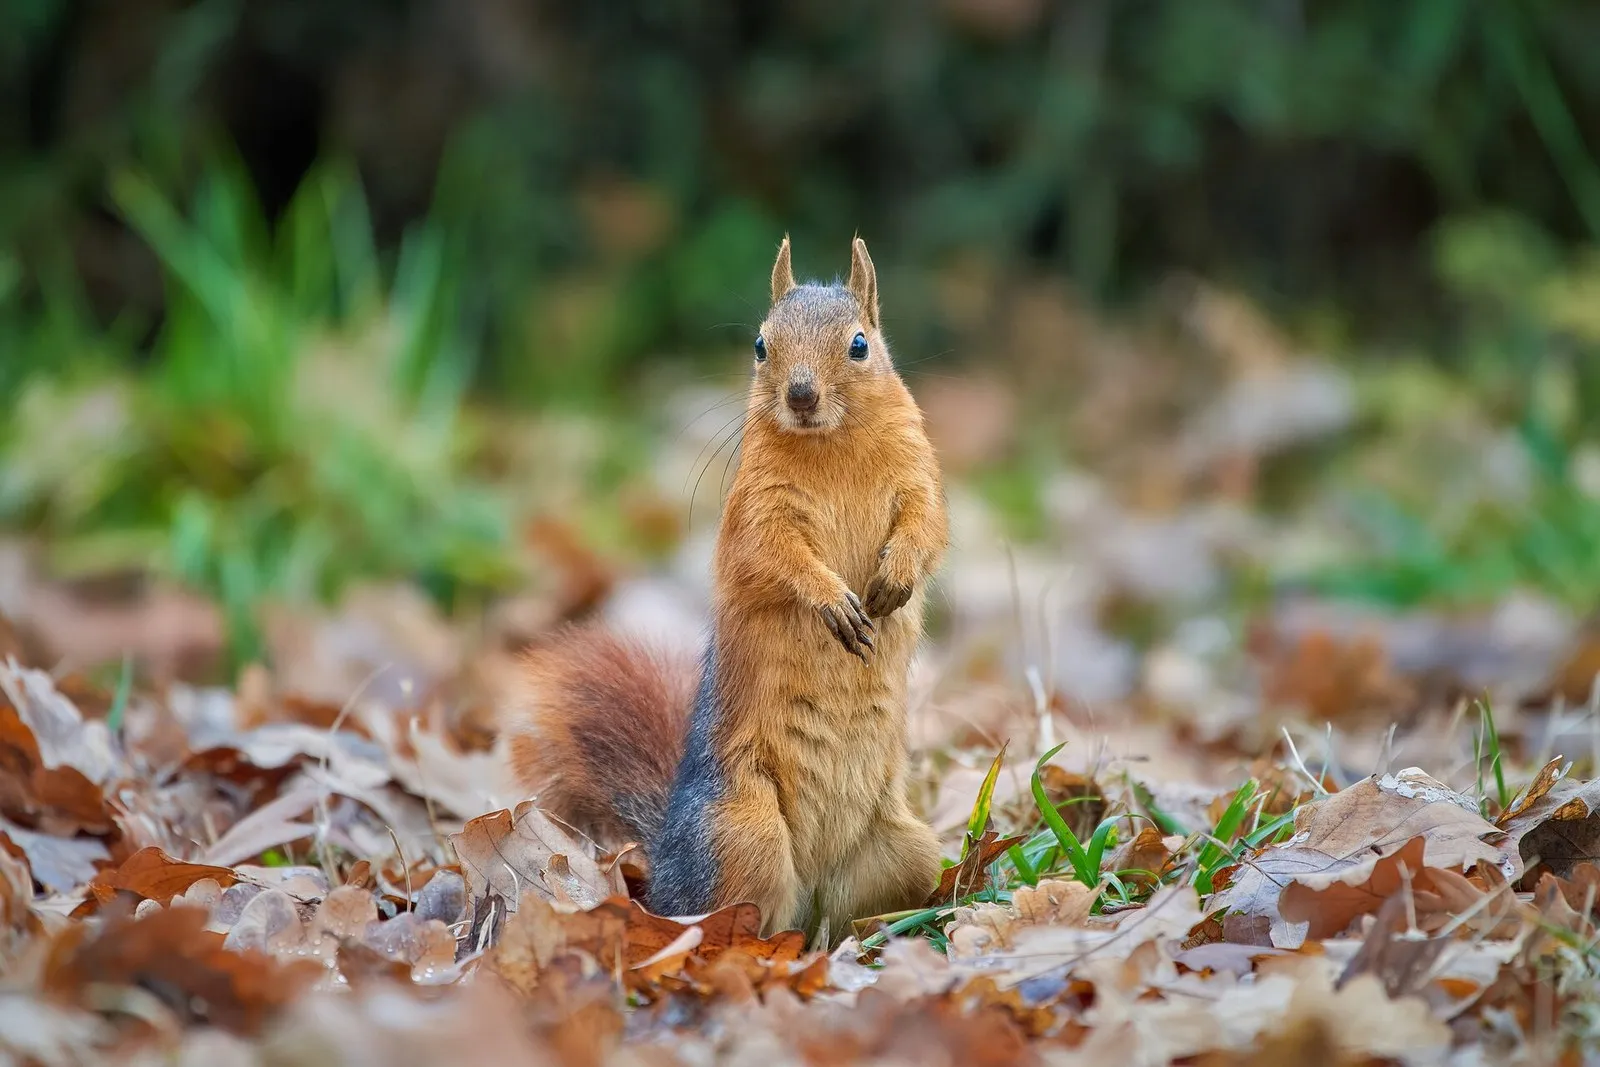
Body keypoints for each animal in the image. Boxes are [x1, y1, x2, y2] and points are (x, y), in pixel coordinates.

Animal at [501, 236, 949, 944]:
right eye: (761, 345)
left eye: (860, 344)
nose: (800, 394)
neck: (833, 444)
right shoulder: (755, 510)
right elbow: (773, 557)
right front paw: (831, 598)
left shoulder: (919, 476)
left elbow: (925, 525)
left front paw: (896, 576)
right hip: (743, 834)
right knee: (735, 912)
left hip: (906, 849)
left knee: (845, 912)